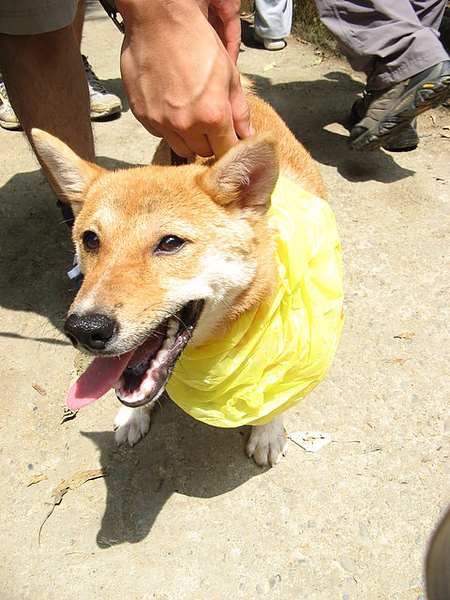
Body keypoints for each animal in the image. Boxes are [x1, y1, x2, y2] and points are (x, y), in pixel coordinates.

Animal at [31, 85, 342, 468]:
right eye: (90, 240)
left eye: (170, 243)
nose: (84, 329)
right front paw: (135, 415)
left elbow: (278, 391)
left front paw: (268, 430)